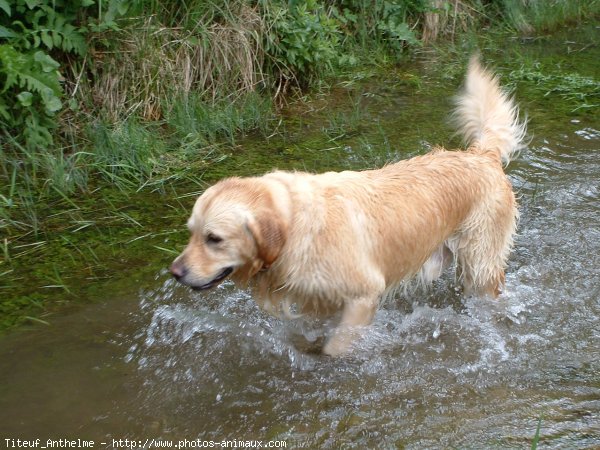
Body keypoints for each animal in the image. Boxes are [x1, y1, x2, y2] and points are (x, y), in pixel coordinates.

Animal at [169, 57, 524, 356]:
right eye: (191, 233)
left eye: (214, 239)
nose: (175, 272)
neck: (295, 227)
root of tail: (482, 155)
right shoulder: (317, 302)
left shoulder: (363, 295)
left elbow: (335, 347)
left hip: (480, 263)